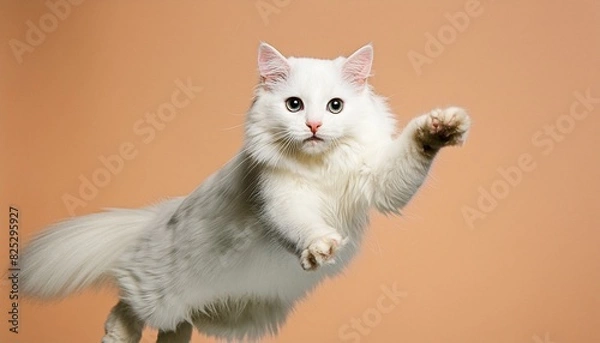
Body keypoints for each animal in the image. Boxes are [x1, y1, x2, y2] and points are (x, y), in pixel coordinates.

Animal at [18, 43, 472, 343]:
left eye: (335, 106)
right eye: (293, 105)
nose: (313, 127)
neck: (320, 167)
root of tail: (157, 216)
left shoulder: (378, 179)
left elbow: (412, 154)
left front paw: (443, 126)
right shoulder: (280, 201)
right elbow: (303, 227)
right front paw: (320, 249)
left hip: (218, 315)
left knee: (174, 328)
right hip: (158, 293)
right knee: (124, 308)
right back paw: (117, 334)